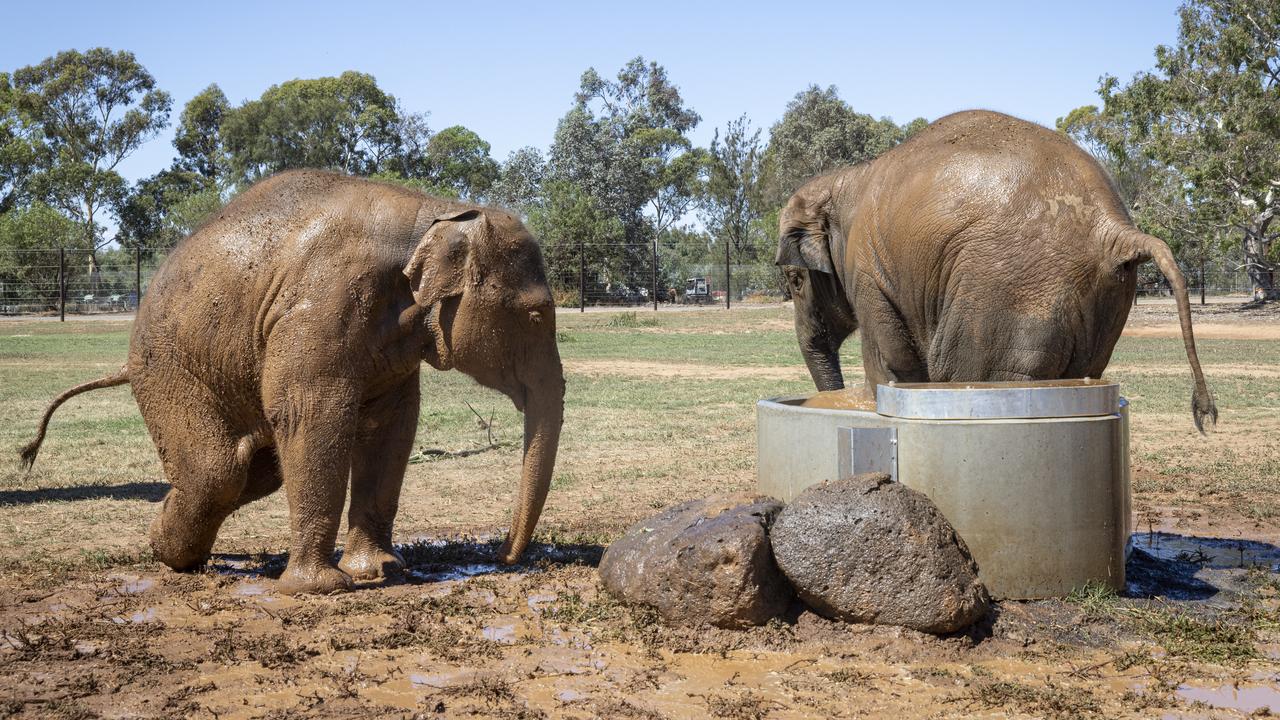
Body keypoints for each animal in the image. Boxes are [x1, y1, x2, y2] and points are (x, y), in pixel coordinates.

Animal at [20, 170, 565, 591]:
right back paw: (170, 555)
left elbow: (390, 425)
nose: (503, 557)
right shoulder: (322, 305)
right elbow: (314, 414)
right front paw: (322, 589)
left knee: (253, 469)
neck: (436, 211)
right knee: (219, 470)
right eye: (537, 315)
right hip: (168, 371)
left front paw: (382, 571)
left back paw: (165, 542)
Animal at [773, 109, 1213, 427]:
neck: (845, 180)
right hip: (1104, 302)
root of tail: (1114, 228)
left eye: (795, 279)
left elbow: (892, 363)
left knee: (967, 370)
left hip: (1004, 293)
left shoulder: (867, 269)